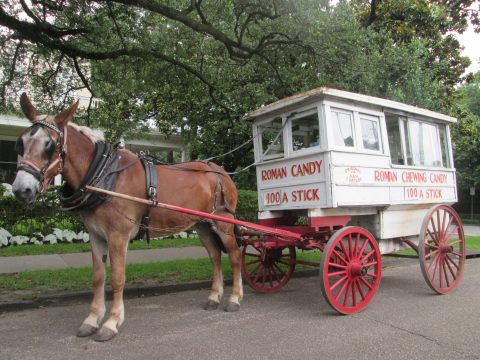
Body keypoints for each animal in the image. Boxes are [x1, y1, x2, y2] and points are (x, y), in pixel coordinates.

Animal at [10, 93, 244, 340]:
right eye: (21, 142)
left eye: (50, 145)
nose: (21, 190)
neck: (104, 176)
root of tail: (221, 171)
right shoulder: (96, 235)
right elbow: (98, 277)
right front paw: (92, 319)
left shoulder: (118, 236)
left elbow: (117, 278)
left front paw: (111, 322)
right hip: (203, 225)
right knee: (215, 256)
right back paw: (214, 296)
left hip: (223, 223)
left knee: (235, 256)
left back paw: (234, 298)